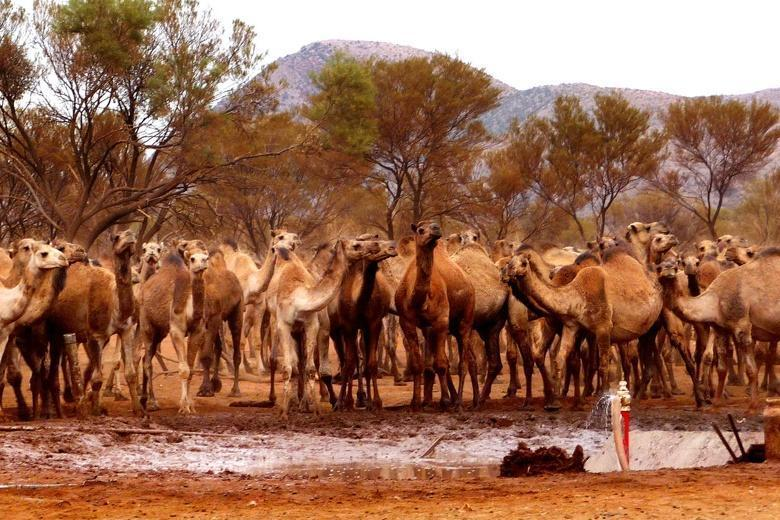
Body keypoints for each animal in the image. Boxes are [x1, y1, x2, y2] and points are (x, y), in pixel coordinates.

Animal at [396, 219, 476, 410]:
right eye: (420, 229)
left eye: (433, 226)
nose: (436, 229)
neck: (418, 300)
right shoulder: (406, 322)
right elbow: (418, 364)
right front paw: (416, 402)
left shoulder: (440, 321)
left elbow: (440, 364)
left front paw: (445, 401)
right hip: (438, 328)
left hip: (465, 321)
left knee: (463, 362)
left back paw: (459, 402)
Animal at [656, 248, 780, 410]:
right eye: (659, 267)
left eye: (676, 266)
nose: (669, 269)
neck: (715, 299)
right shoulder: (721, 329)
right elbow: (721, 368)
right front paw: (716, 401)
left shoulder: (742, 326)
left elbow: (751, 369)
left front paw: (753, 404)